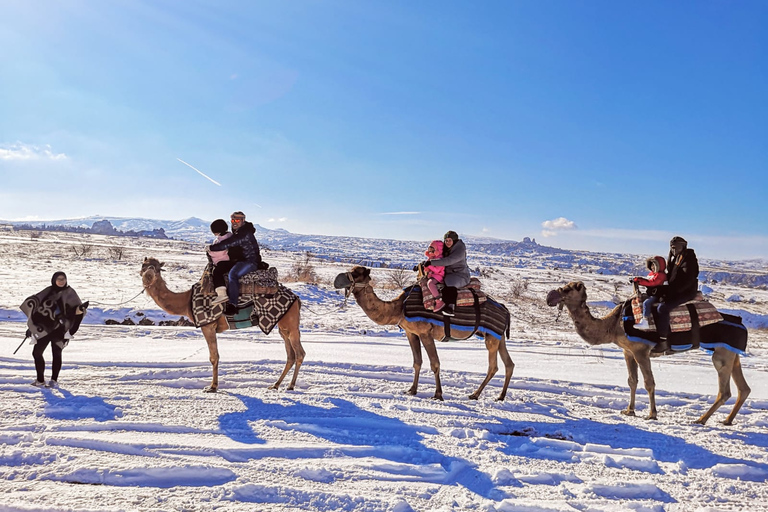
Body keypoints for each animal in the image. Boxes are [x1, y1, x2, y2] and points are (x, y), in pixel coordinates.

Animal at [140, 257, 304, 392]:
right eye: (143, 265)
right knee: (290, 354)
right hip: (282, 325)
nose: (149, 274)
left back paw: (290, 386)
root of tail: (297, 299)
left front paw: (212, 387)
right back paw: (275, 385)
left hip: (290, 323)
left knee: (299, 353)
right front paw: (213, 386)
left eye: (158, 268)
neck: (186, 301)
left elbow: (214, 357)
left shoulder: (208, 326)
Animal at [334, 266, 514, 401]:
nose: (337, 281)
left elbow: (435, 363)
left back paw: (475, 394)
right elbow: (417, 362)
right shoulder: (411, 333)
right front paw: (411, 390)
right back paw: (500, 396)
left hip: (491, 336)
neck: (399, 308)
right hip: (498, 336)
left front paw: (438, 395)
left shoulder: (425, 332)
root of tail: (505, 310)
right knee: (509, 364)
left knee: (493, 366)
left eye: (356, 273)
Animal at [546, 281, 751, 425]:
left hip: (721, 354)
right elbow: (632, 381)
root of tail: (742, 325)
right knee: (743, 388)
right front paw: (629, 410)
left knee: (724, 390)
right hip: (732, 353)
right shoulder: (627, 351)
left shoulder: (641, 351)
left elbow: (648, 382)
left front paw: (652, 414)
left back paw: (701, 419)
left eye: (567, 289)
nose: (550, 298)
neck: (613, 324)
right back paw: (727, 420)